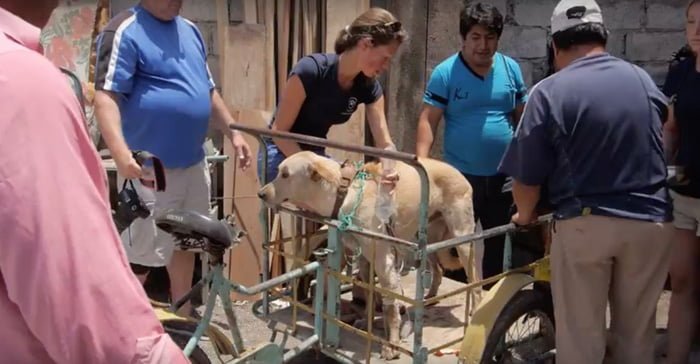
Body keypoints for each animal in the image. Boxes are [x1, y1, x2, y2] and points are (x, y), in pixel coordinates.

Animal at [258, 151, 482, 362]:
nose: (260, 194)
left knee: (476, 281)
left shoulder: (384, 262)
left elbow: (390, 308)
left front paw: (391, 346)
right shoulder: (365, 260)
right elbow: (369, 294)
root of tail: (460, 173)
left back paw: (475, 311)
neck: (344, 195)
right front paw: (367, 324)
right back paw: (431, 296)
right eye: (278, 171)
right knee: (439, 269)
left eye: (285, 174)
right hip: (431, 241)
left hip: (462, 241)